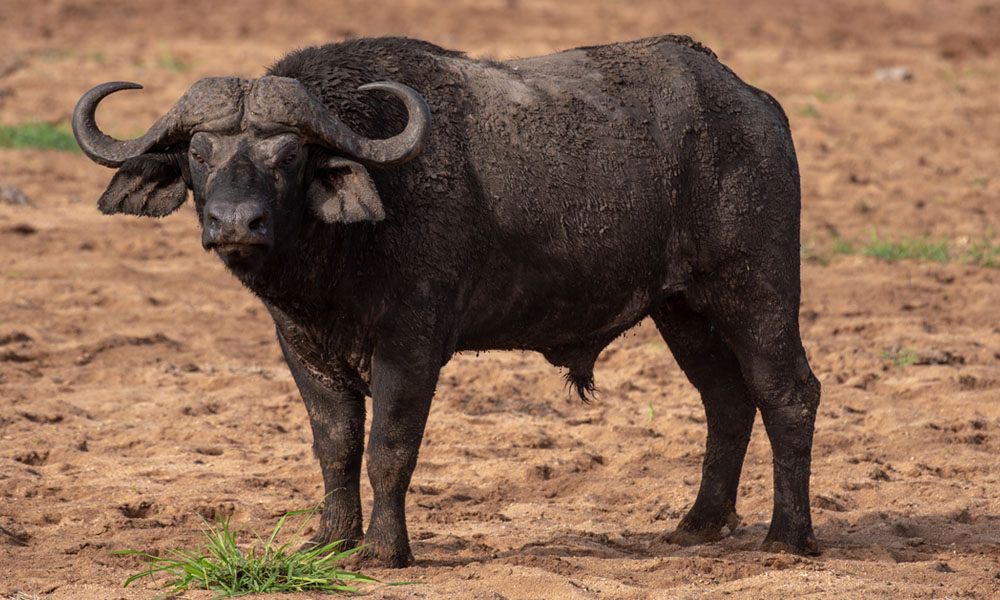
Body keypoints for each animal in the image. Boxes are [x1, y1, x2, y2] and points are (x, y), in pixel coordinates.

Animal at [72, 35, 820, 564]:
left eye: (288, 155)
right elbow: (335, 444)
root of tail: (755, 105)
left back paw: (788, 537)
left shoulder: (412, 345)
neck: (340, 255)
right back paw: (698, 524)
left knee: (788, 393)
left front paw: (383, 551)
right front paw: (329, 540)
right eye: (199, 153)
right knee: (727, 401)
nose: (235, 223)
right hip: (683, 309)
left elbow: (389, 447)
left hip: (757, 288)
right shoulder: (302, 348)